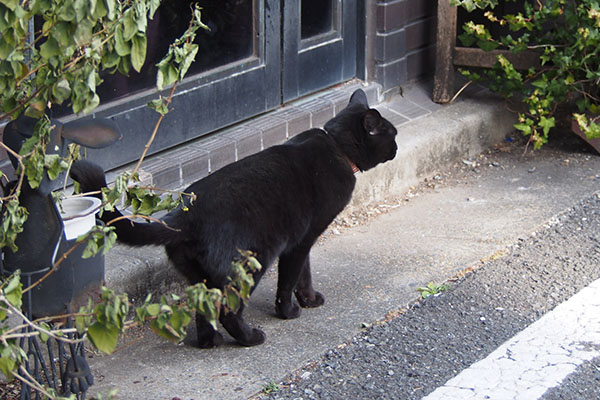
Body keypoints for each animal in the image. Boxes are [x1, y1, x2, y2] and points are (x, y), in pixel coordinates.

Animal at [70, 88, 396, 346]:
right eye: (391, 134)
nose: (396, 146)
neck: (337, 147)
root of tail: (184, 217)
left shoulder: (303, 241)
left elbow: (305, 273)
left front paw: (310, 299)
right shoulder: (302, 239)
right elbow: (291, 279)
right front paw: (290, 311)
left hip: (198, 275)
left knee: (205, 307)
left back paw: (208, 342)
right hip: (249, 264)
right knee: (228, 310)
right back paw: (251, 338)